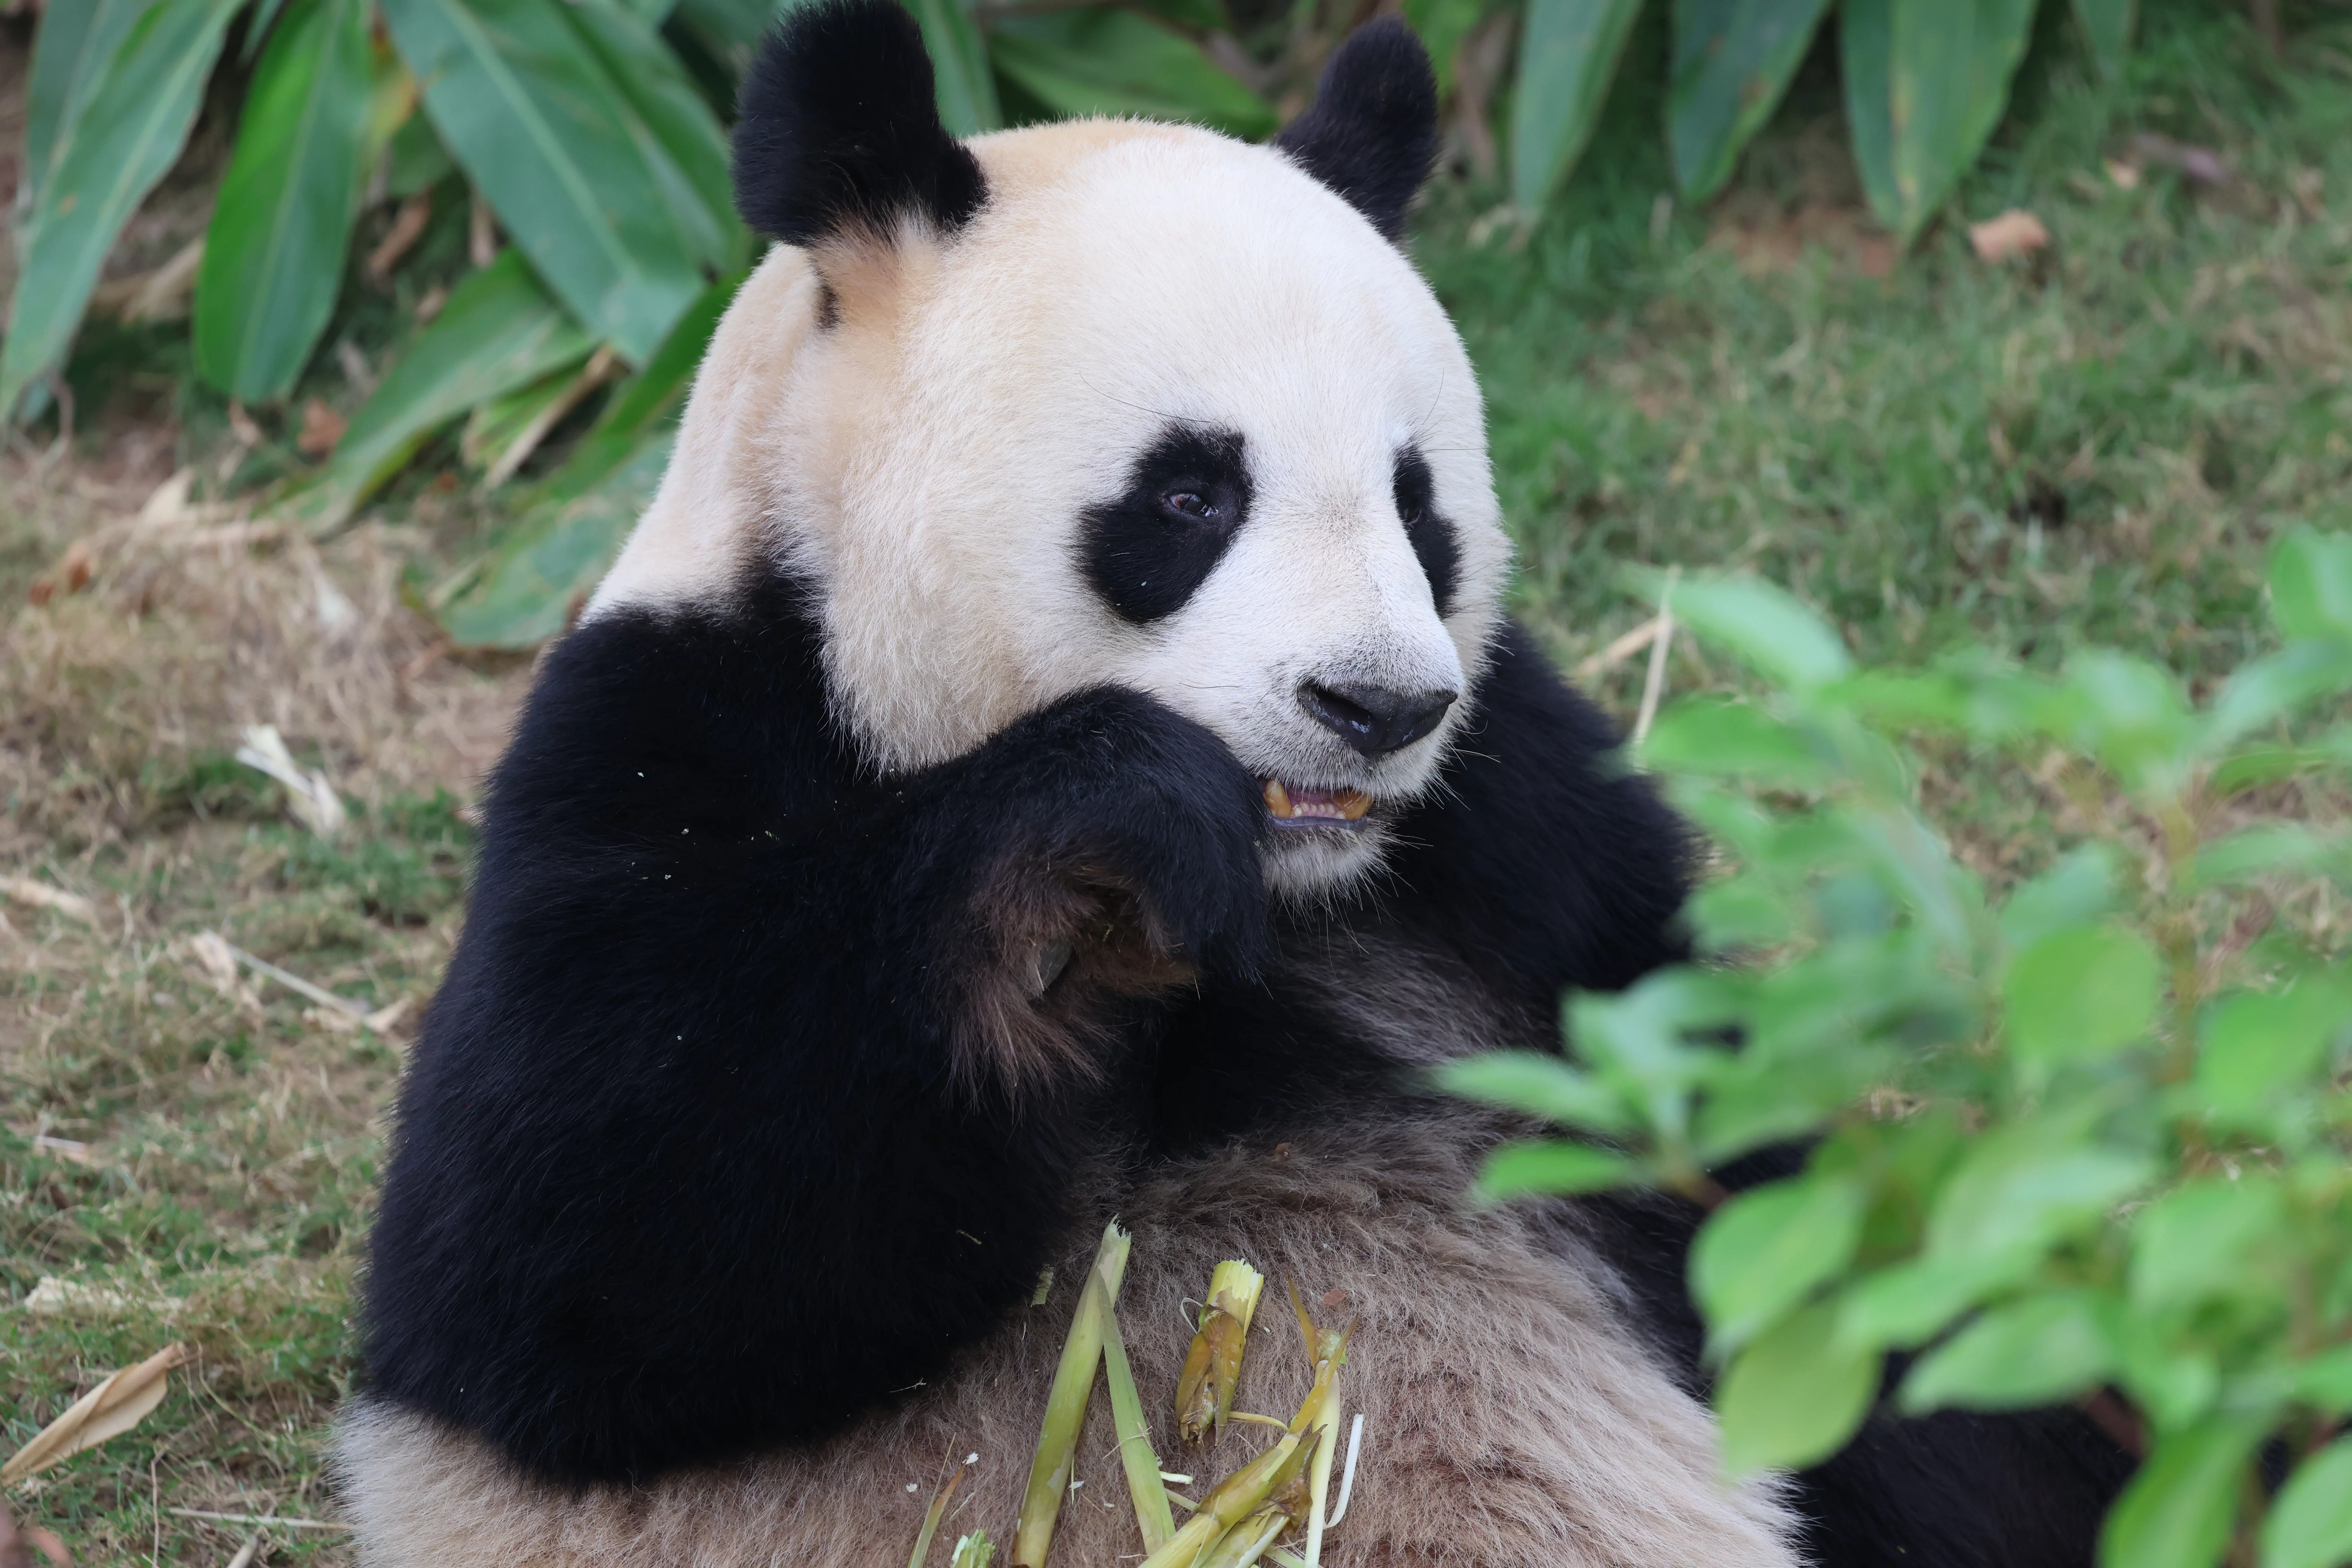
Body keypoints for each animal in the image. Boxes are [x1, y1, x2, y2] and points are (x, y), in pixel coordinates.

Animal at [337, 5, 2132, 1564]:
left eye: (1419, 503)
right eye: (1192, 494)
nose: (1379, 705)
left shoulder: (1518, 815)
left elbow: (1739, 1162)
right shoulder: (660, 729)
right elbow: (578, 1255)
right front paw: (1095, 856)